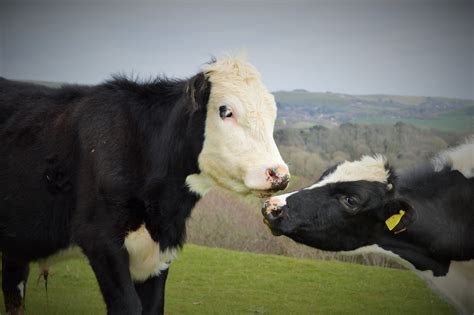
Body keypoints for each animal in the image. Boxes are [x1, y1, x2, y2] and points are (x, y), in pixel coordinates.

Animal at [0, 57, 290, 315]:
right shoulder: (99, 238)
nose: (279, 174)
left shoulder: (160, 252)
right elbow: (129, 305)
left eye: (272, 115)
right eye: (226, 111)